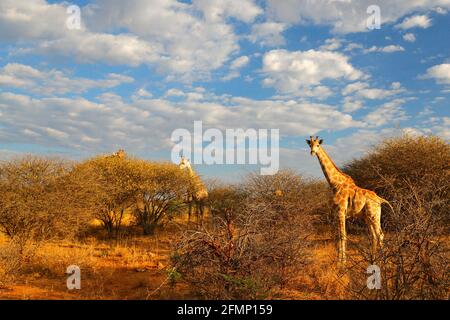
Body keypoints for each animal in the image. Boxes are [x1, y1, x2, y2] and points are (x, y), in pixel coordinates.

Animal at [308, 136, 392, 264]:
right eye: (310, 145)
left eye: (318, 145)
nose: (312, 152)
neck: (335, 184)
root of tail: (379, 199)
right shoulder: (337, 213)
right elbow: (339, 235)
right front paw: (340, 259)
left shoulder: (341, 211)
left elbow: (343, 235)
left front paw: (342, 261)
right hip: (367, 217)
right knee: (373, 235)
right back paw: (373, 259)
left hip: (374, 215)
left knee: (380, 234)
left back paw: (382, 261)